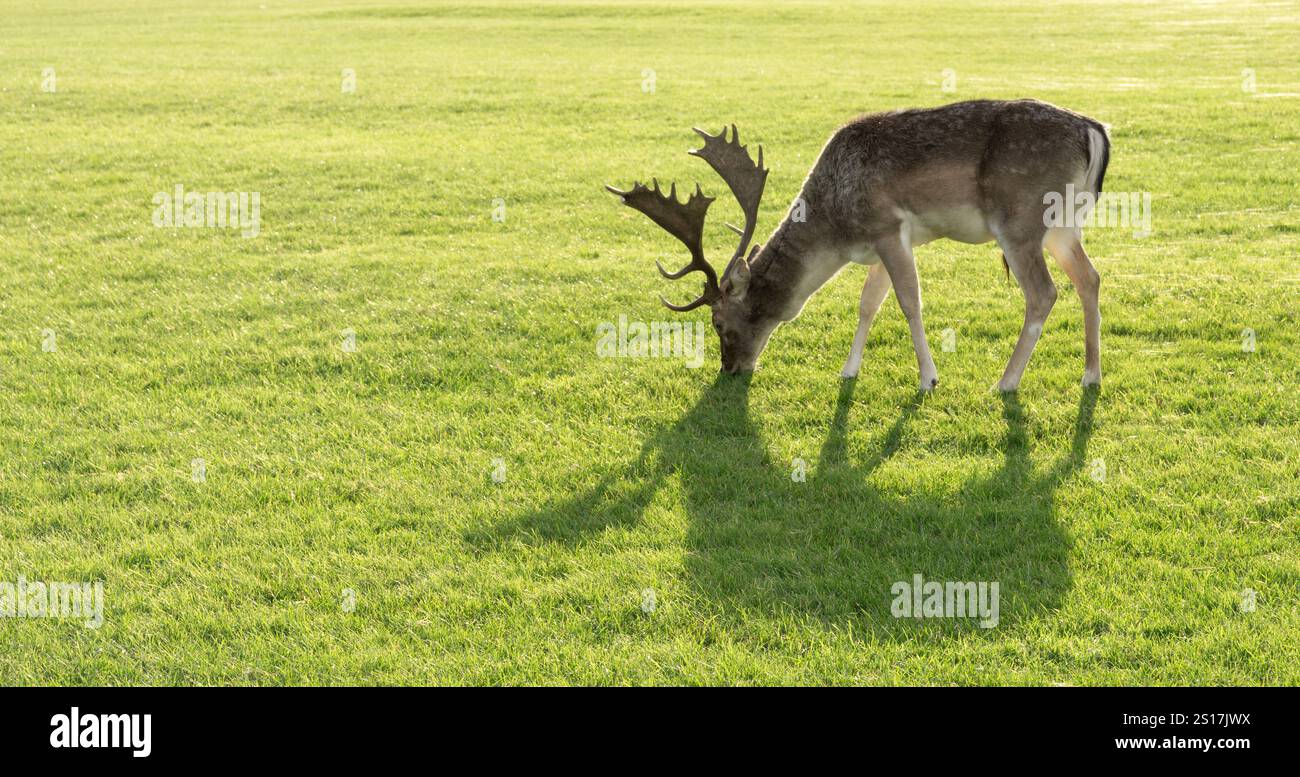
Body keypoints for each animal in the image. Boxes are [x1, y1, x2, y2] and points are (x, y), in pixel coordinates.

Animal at [605, 99, 1110, 392]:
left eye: (719, 323)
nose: (729, 369)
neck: (836, 229)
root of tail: (1093, 130)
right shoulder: (883, 245)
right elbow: (868, 304)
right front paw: (848, 370)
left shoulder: (887, 227)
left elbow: (909, 302)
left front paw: (928, 379)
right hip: (1065, 226)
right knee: (1090, 278)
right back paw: (1090, 374)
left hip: (1020, 220)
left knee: (1043, 292)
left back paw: (1005, 383)